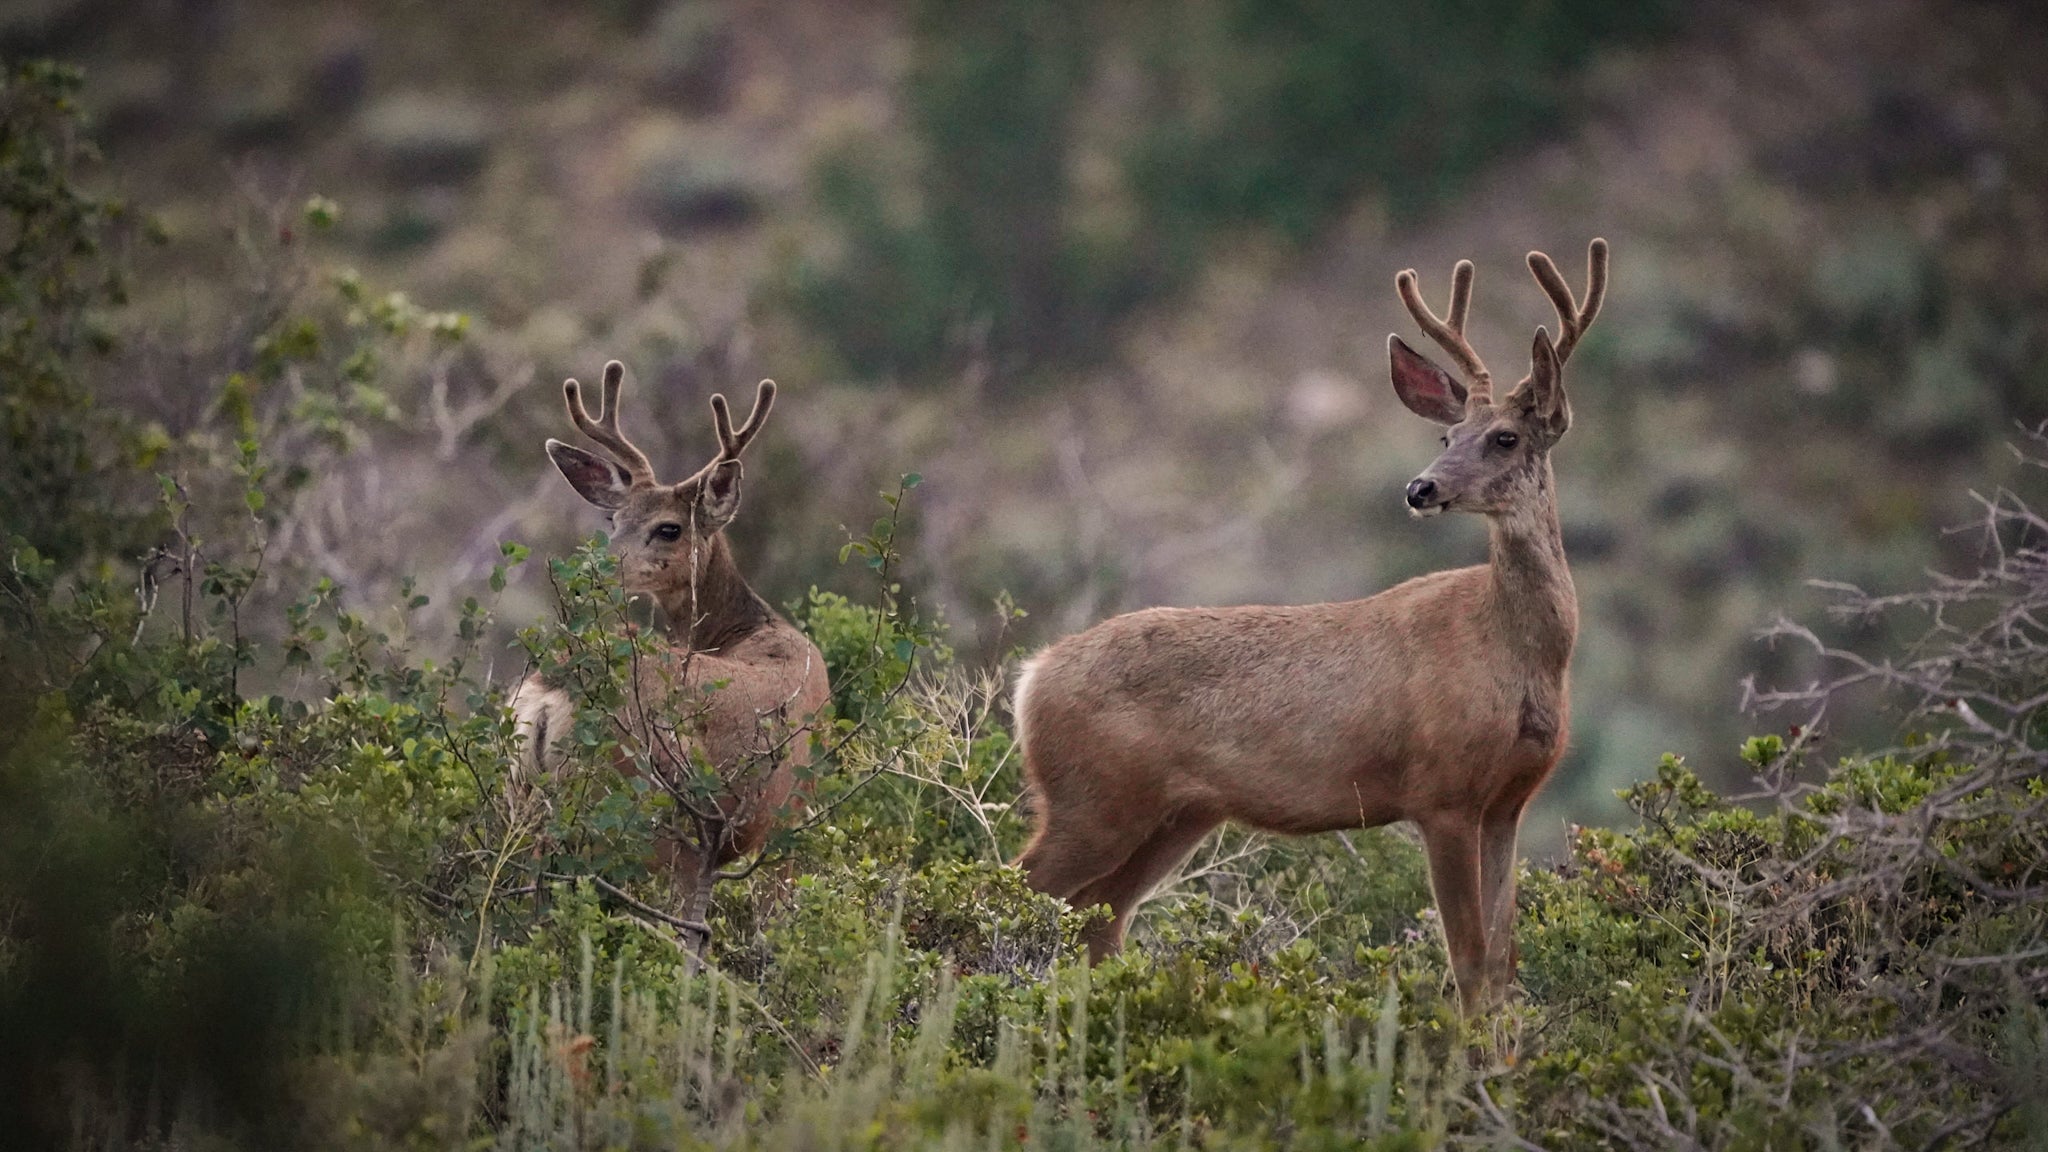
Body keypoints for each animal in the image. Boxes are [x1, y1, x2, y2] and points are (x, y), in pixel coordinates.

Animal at [512, 356, 831, 959]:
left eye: (669, 528)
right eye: (613, 522)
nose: (594, 570)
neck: (744, 627)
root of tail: (551, 695)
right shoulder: (786, 816)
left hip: (524, 795)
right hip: (646, 819)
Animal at [1015, 239, 1605, 1004]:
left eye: (1504, 437)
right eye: (1449, 433)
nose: (1420, 488)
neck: (1514, 652)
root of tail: (1030, 678)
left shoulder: (1510, 798)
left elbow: (1503, 961)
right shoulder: (1440, 791)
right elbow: (1470, 963)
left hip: (1177, 814)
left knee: (1097, 919)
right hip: (1092, 796)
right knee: (1017, 889)